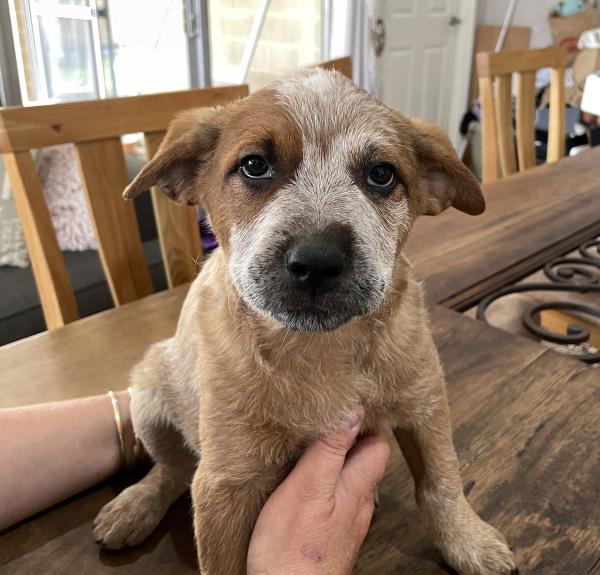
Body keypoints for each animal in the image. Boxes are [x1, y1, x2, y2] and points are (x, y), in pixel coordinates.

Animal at [94, 68, 516, 575]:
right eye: (254, 165)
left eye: (381, 174)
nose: (317, 261)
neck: (320, 349)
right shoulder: (226, 484)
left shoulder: (425, 404)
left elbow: (442, 481)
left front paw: (466, 540)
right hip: (148, 398)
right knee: (172, 468)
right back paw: (135, 504)